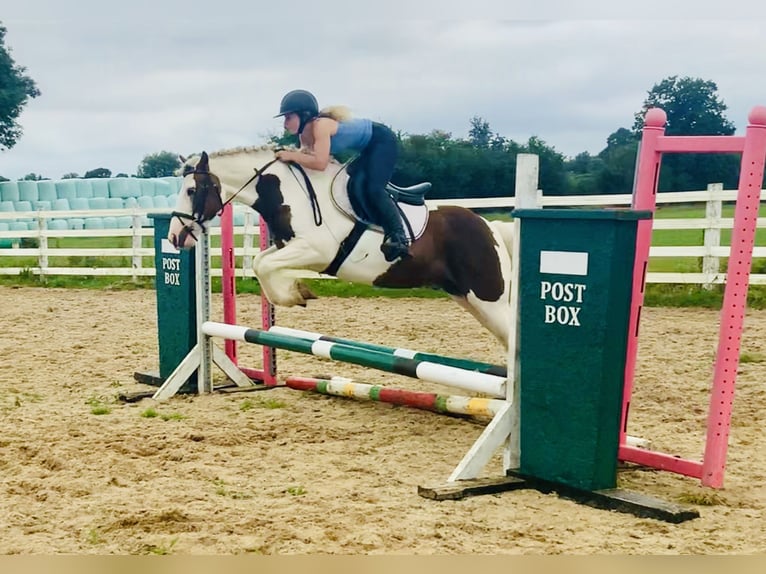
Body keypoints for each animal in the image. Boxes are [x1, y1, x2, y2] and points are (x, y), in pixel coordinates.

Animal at [168, 146, 516, 348]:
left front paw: (297, 294)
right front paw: (297, 291)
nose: (174, 237)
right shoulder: (288, 247)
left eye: (191, 190)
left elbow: (264, 265)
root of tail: (490, 226)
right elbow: (260, 264)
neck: (292, 193)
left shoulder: (316, 250)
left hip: (487, 297)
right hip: (466, 297)